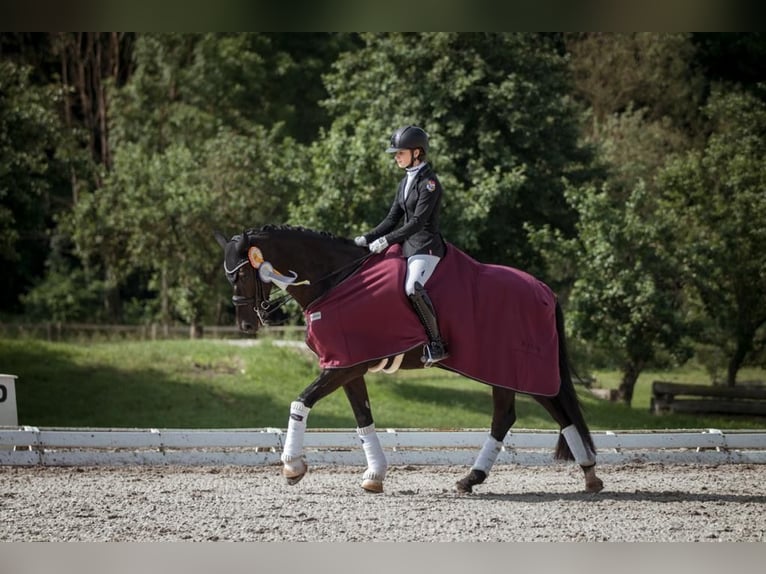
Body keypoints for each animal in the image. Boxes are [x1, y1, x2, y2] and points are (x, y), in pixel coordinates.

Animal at [216, 225, 608, 496]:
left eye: (241, 273)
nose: (247, 324)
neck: (337, 281)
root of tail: (544, 290)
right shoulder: (348, 365)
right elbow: (362, 418)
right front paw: (374, 476)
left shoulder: (344, 365)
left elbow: (301, 401)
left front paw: (292, 467)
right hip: (500, 370)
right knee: (509, 417)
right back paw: (476, 478)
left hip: (523, 369)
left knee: (556, 411)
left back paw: (588, 473)